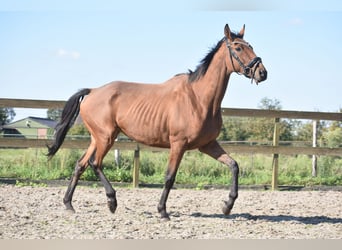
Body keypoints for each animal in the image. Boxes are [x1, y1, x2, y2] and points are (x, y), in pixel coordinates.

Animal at [47, 23, 268, 219]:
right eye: (238, 47)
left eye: (251, 46)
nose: (262, 72)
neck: (199, 98)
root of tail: (92, 91)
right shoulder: (178, 144)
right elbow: (170, 177)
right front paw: (162, 211)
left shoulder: (207, 145)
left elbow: (234, 165)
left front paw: (227, 206)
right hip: (106, 138)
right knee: (95, 163)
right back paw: (112, 202)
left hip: (97, 138)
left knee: (81, 165)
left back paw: (69, 204)